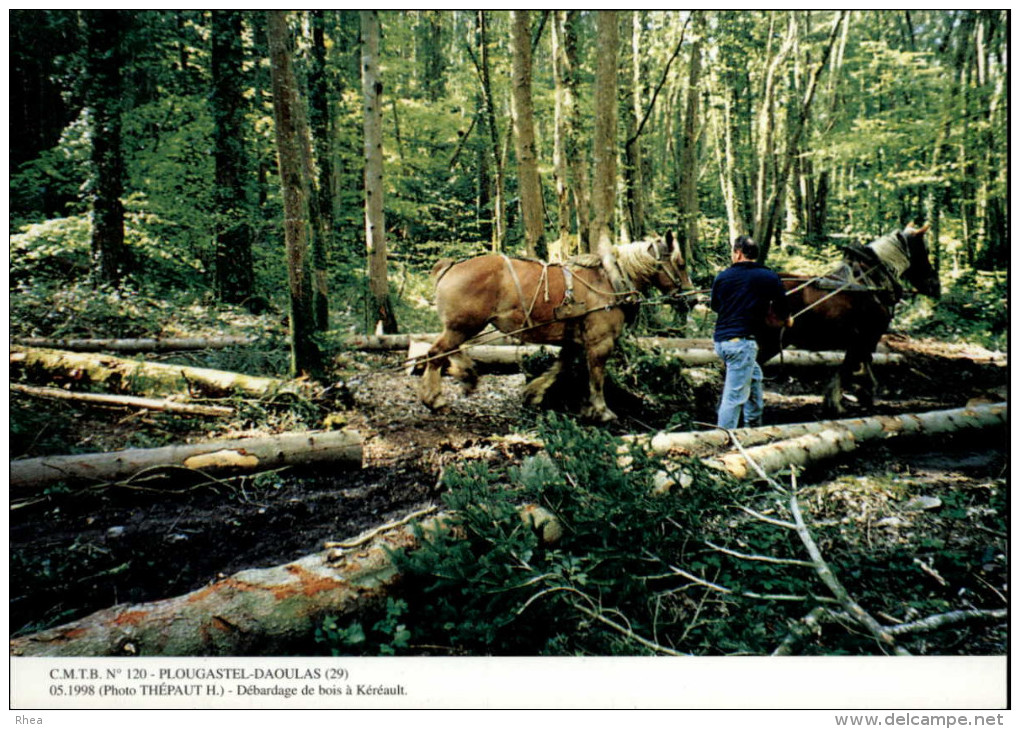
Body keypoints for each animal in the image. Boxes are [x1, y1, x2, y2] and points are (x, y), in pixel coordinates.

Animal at [416, 233, 693, 422]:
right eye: (681, 263)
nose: (692, 298)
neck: (609, 281)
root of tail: (450, 266)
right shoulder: (600, 342)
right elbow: (596, 377)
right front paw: (601, 410)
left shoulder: (574, 341)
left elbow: (560, 367)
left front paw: (533, 394)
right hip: (464, 326)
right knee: (436, 353)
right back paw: (435, 398)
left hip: (464, 326)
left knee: (448, 350)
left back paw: (466, 375)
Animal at [758, 222, 938, 415]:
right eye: (925, 250)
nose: (934, 284)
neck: (870, 283)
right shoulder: (867, 336)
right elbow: (850, 367)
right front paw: (840, 401)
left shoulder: (861, 340)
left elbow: (860, 364)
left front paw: (860, 395)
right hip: (769, 343)